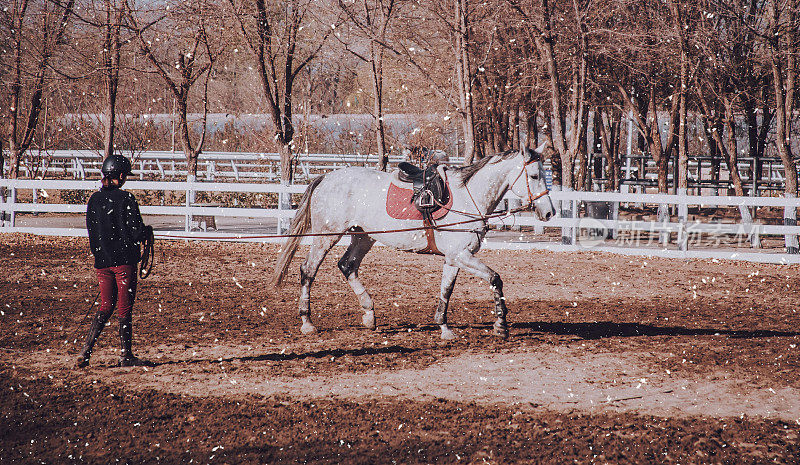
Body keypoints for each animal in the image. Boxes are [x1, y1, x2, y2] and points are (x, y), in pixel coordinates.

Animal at [272, 143, 552, 338]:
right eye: (534, 176)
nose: (549, 213)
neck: (467, 196)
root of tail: (325, 178)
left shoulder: (455, 258)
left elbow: (446, 290)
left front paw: (444, 327)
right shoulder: (462, 256)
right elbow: (495, 279)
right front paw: (501, 325)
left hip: (363, 236)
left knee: (347, 265)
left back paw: (369, 314)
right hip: (326, 236)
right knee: (308, 270)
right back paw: (307, 322)